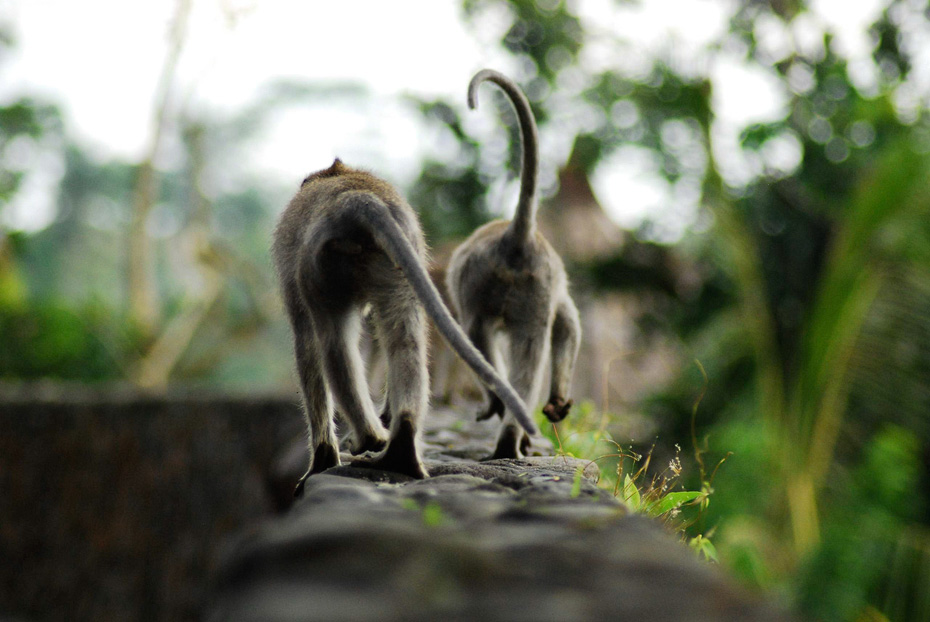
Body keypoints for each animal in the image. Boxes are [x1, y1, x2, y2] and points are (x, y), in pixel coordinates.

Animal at [272, 158, 532, 494]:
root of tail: (355, 200)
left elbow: (306, 344)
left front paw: (323, 459)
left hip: (322, 267)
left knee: (331, 344)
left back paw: (365, 441)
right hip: (393, 262)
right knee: (405, 338)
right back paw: (400, 449)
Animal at [444, 69, 580, 464]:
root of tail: (515, 240)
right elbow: (567, 328)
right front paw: (556, 404)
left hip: (498, 283)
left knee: (481, 335)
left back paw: (506, 427)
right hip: (525, 286)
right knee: (509, 342)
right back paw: (510, 434)